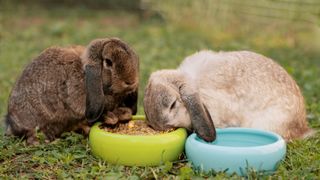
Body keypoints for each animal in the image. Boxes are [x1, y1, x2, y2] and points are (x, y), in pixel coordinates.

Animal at [4, 37, 139, 145]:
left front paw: (123, 114)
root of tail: (12, 123)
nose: (131, 81)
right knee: (33, 136)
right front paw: (112, 118)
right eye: (108, 62)